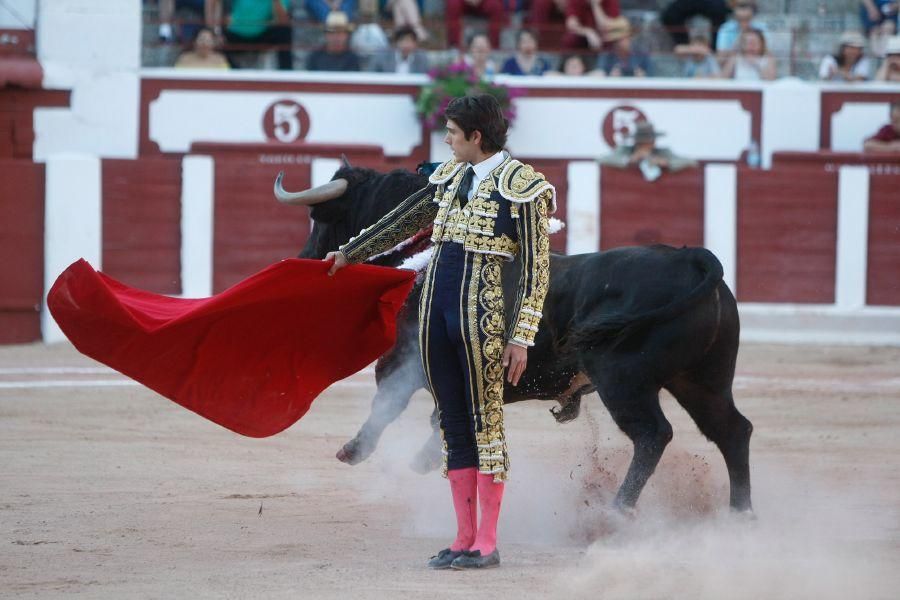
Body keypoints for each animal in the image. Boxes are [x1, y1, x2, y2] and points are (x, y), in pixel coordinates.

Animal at [280, 166, 752, 512]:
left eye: (323, 219)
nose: (306, 257)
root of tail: (690, 259)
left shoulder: (404, 361)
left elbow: (388, 404)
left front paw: (356, 450)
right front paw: (425, 459)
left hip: (623, 379)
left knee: (654, 435)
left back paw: (616, 511)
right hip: (703, 379)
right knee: (732, 430)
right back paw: (740, 514)